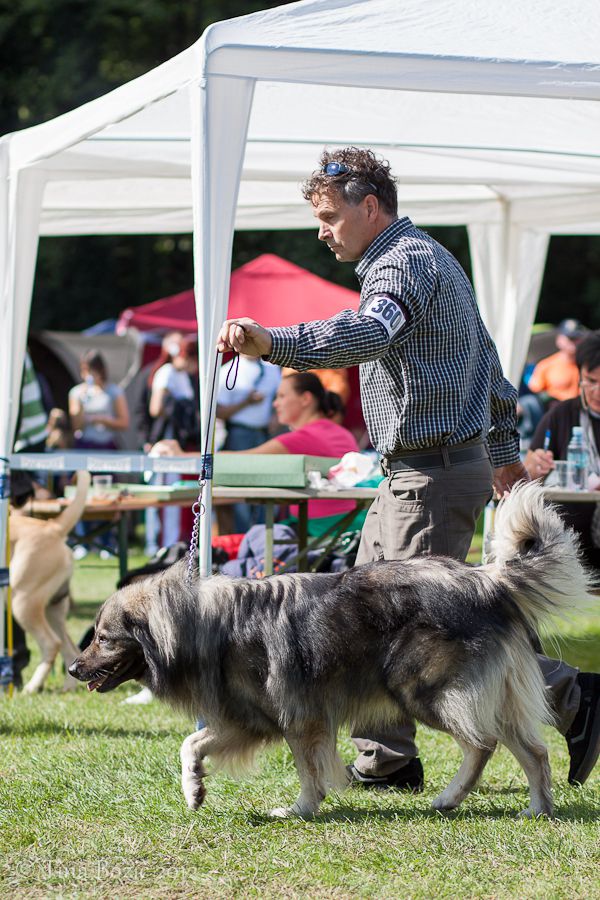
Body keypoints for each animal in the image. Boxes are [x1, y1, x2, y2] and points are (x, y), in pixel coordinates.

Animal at [9, 472, 91, 696]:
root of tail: (53, 527)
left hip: (23, 602)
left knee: (51, 643)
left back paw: (32, 687)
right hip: (52, 609)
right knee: (69, 647)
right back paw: (68, 688)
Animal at [69, 482, 592, 820]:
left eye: (103, 637)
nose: (73, 668)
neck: (202, 624)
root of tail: (488, 580)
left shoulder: (300, 715)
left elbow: (307, 769)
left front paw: (300, 809)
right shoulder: (246, 718)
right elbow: (190, 744)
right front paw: (194, 788)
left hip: (426, 690)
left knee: (482, 744)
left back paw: (455, 798)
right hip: (481, 694)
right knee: (533, 750)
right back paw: (536, 808)